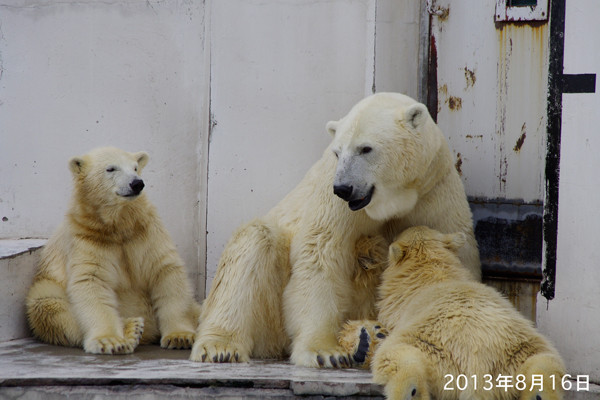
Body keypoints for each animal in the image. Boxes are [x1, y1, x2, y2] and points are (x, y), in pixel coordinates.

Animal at [190, 92, 480, 368]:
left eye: (365, 148)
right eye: (337, 152)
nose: (343, 188)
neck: (393, 199)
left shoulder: (434, 191)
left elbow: (456, 251)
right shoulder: (334, 199)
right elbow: (321, 252)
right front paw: (325, 353)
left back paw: (368, 336)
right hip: (271, 311)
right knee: (252, 244)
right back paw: (220, 346)